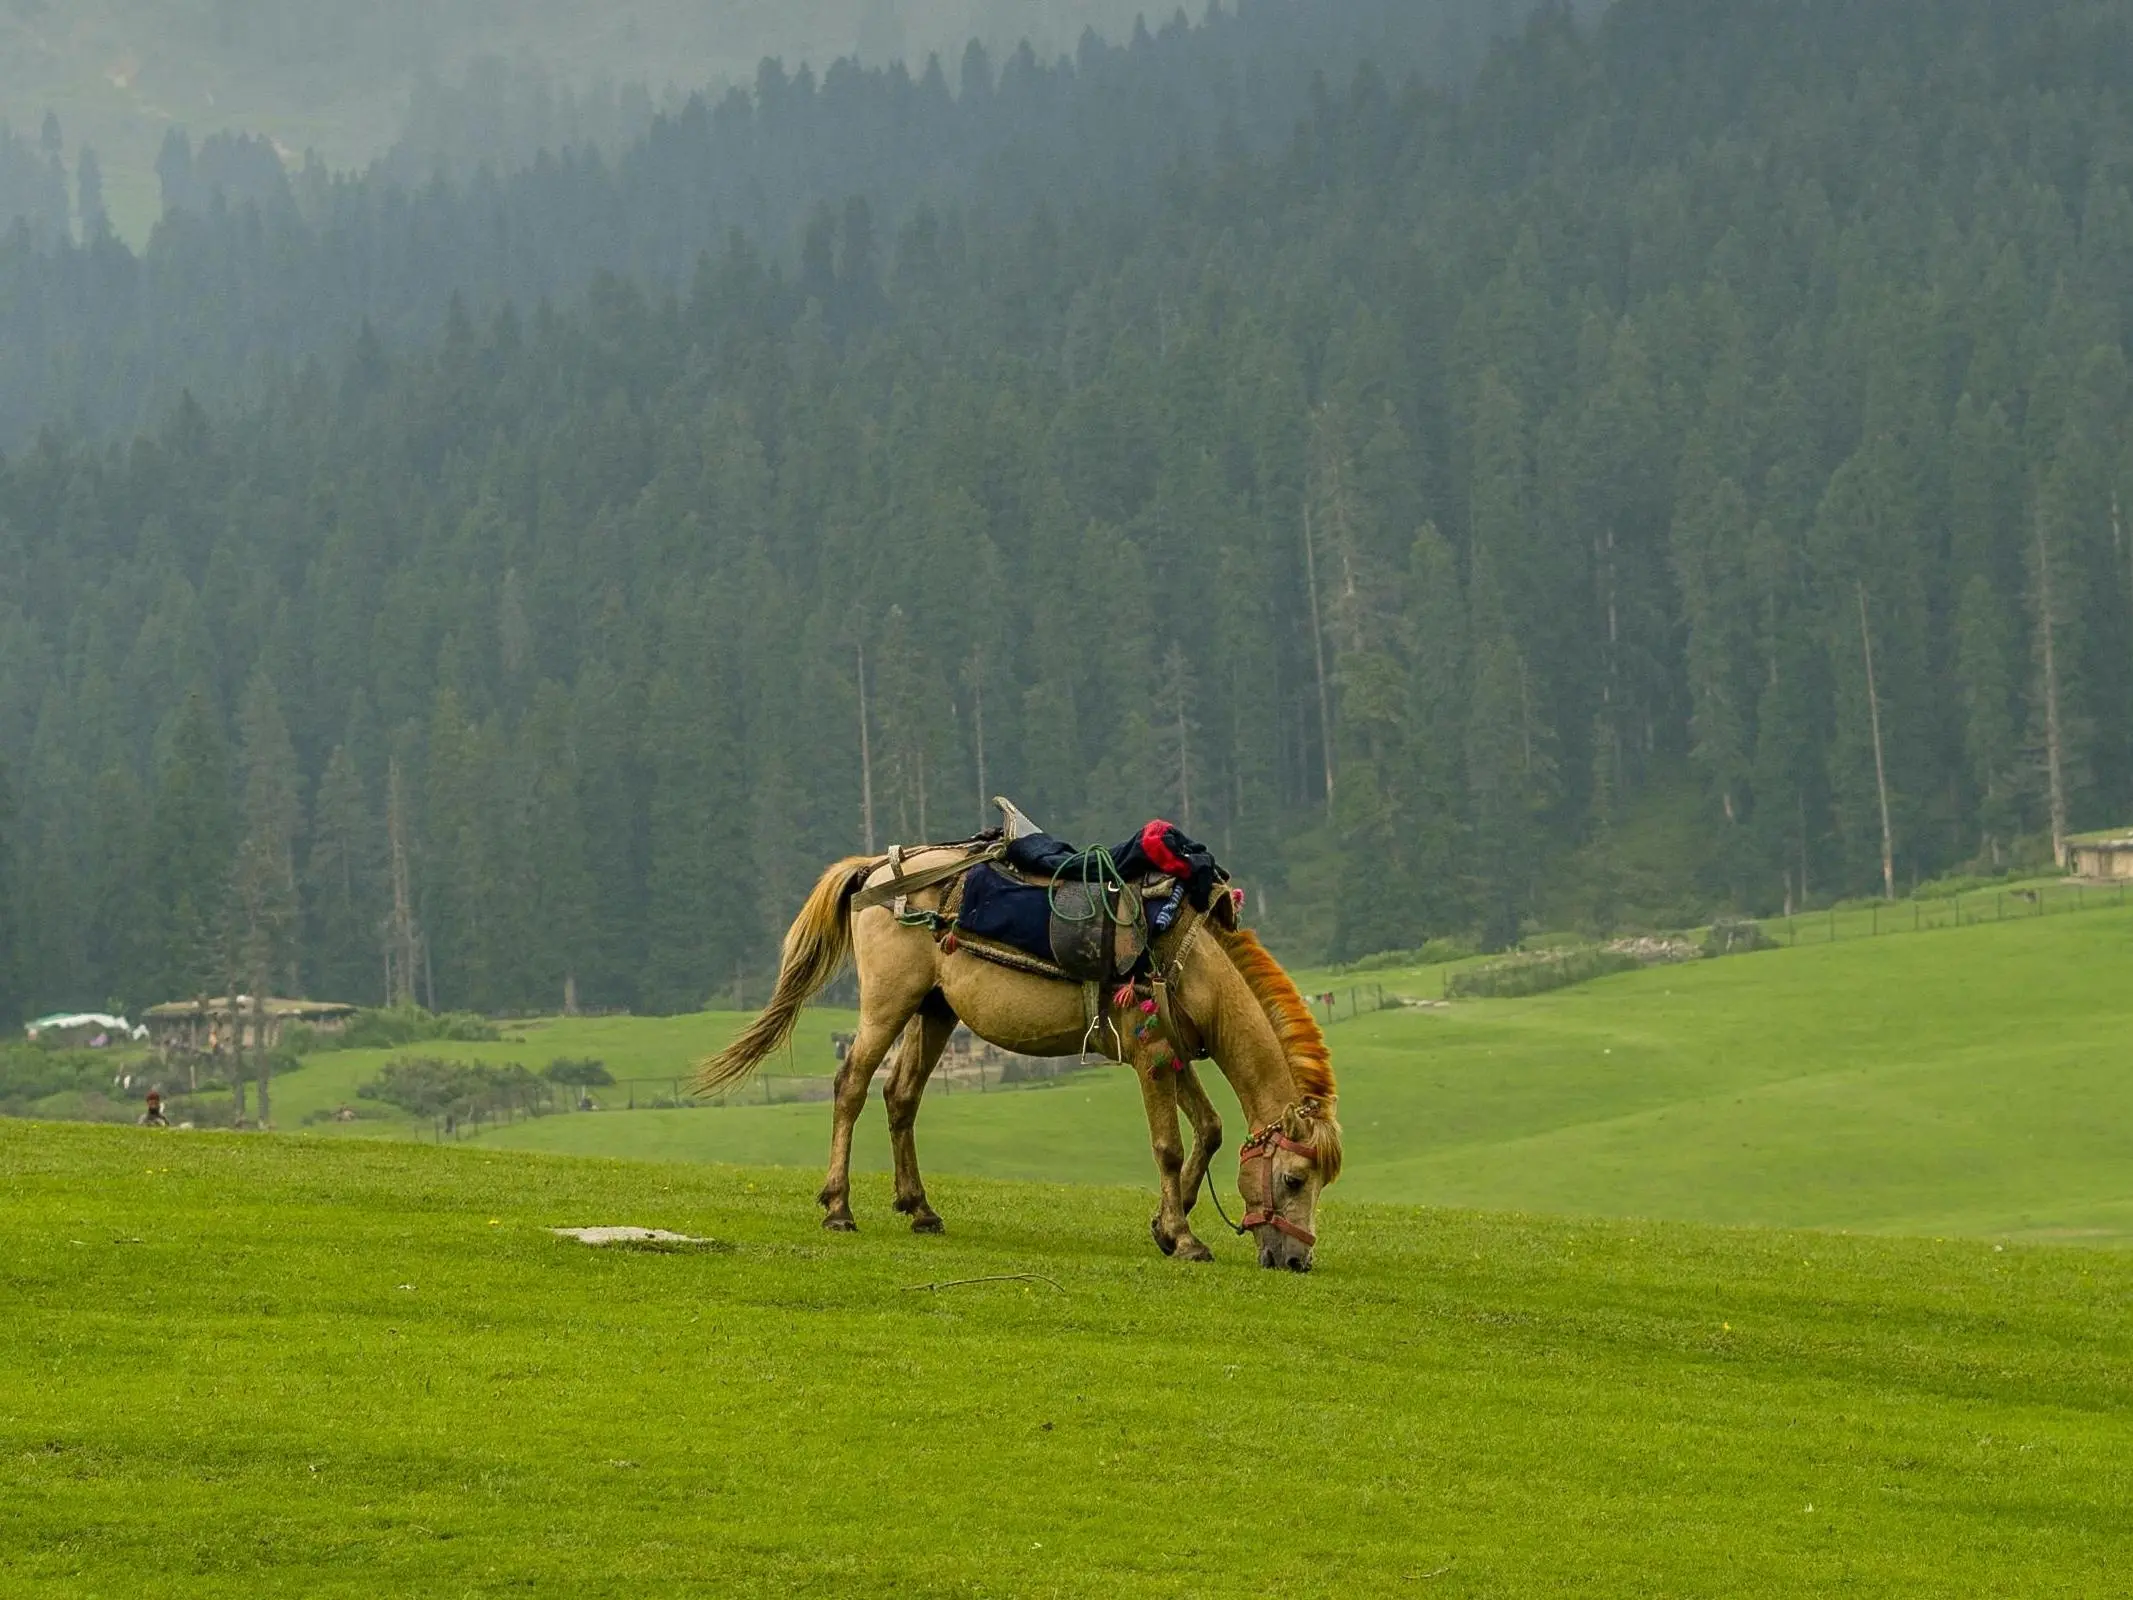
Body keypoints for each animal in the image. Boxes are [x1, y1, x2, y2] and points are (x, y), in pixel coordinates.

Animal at [691, 844, 1339, 1271]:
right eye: (1293, 1178)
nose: (1296, 1262)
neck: (1190, 960)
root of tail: (877, 868)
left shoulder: (1173, 1054)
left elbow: (1209, 1129)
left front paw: (1165, 1220)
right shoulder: (1151, 1054)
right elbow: (1170, 1145)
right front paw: (1183, 1238)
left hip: (934, 1010)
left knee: (901, 1095)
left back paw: (920, 1208)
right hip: (887, 1004)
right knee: (851, 1085)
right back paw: (838, 1207)